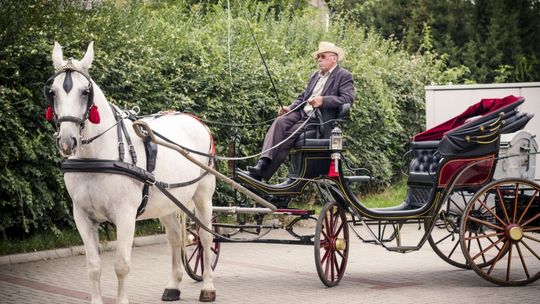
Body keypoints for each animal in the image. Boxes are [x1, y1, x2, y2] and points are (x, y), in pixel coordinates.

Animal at [48, 41, 217, 302]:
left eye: (85, 92)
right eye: (53, 92)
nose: (67, 141)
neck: (97, 155)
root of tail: (195, 120)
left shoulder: (125, 215)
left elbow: (121, 265)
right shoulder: (82, 216)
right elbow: (93, 266)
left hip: (202, 194)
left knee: (205, 236)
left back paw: (208, 286)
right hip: (167, 201)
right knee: (175, 236)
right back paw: (173, 285)